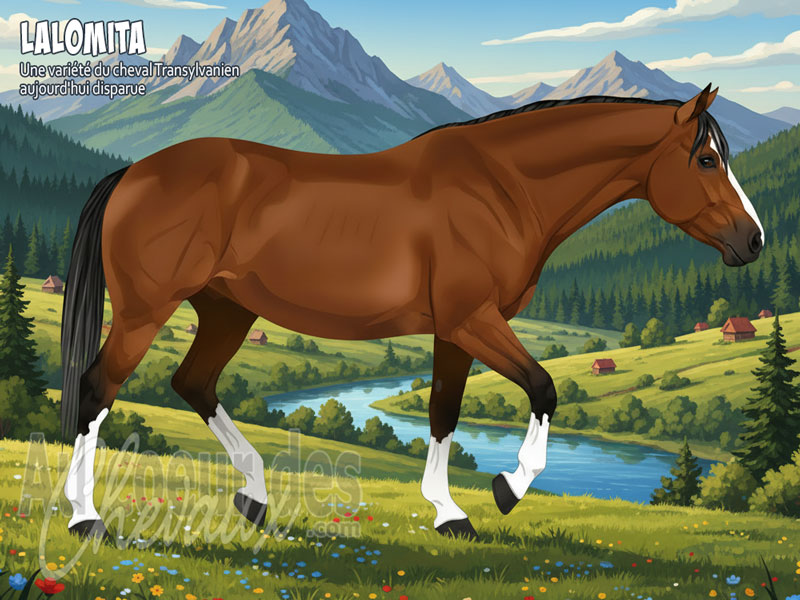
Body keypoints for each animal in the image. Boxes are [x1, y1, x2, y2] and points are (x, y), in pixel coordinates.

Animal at [61, 84, 763, 541]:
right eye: (707, 159)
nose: (753, 240)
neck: (501, 187)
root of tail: (132, 174)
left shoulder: (455, 330)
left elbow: (443, 413)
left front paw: (451, 514)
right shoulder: (473, 320)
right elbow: (544, 387)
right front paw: (507, 489)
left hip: (227, 312)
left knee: (193, 383)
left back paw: (255, 498)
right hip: (144, 311)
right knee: (98, 389)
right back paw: (85, 518)